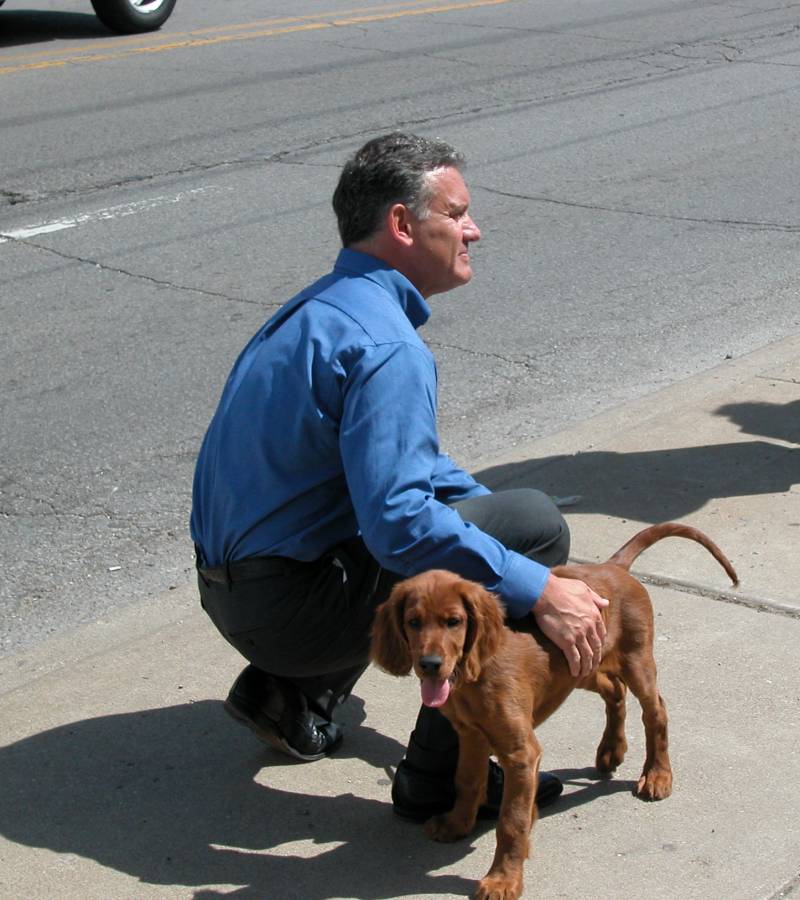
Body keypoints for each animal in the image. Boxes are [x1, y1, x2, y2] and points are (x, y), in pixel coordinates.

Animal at [372, 524, 740, 896]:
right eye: (413, 622)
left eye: (454, 621)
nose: (429, 664)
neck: (474, 676)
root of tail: (613, 566)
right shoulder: (471, 736)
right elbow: (467, 781)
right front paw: (457, 824)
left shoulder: (521, 753)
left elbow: (512, 821)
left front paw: (503, 879)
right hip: (583, 664)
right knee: (614, 690)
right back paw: (611, 749)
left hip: (636, 661)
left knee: (655, 712)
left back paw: (657, 775)